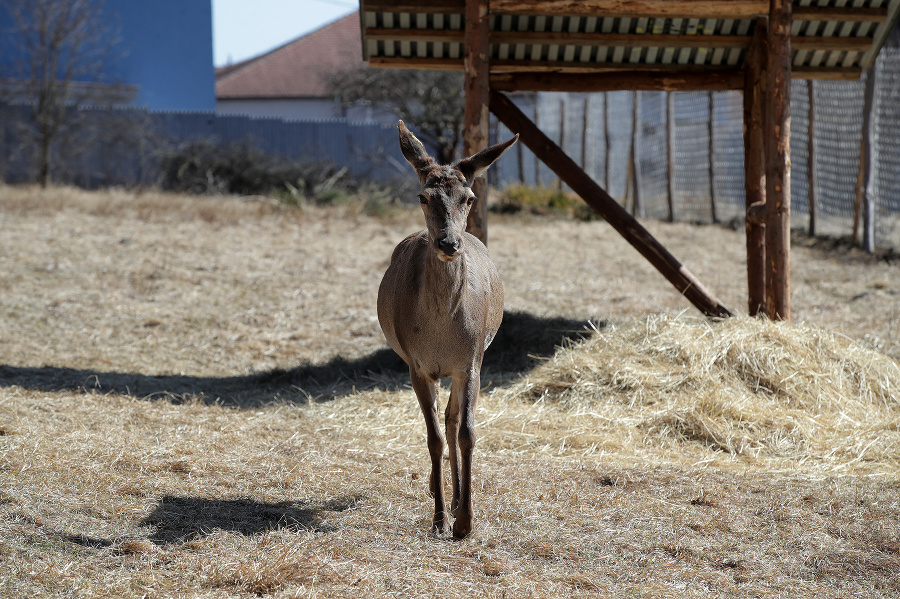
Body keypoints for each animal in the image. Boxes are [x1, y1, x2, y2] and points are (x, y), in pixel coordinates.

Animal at [376, 120, 516, 540]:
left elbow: (466, 431)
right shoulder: (417, 366)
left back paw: (456, 499)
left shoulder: (471, 361)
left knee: (454, 421)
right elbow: (433, 437)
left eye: (468, 198)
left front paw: (465, 520)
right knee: (443, 424)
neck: (441, 332)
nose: (448, 243)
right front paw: (439, 519)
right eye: (423, 196)